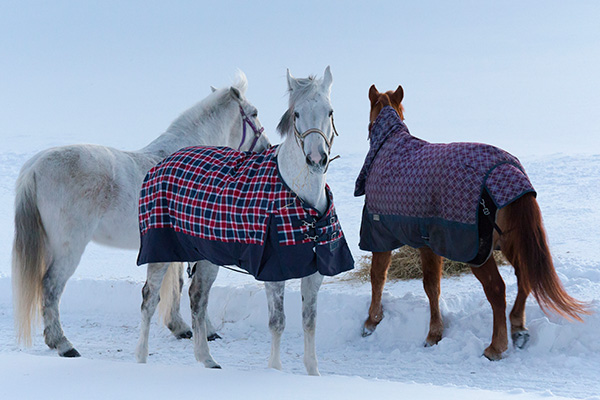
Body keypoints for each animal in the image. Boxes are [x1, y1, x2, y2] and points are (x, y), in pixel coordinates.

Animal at [12, 73, 270, 358]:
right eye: (254, 113)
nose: (266, 148)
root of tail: (34, 168)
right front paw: (205, 331)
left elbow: (177, 285)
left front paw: (181, 328)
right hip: (68, 248)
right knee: (50, 287)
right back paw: (64, 344)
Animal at [137, 66, 342, 376]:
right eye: (296, 114)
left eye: (330, 111)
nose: (317, 159)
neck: (299, 199)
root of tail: (163, 163)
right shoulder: (273, 271)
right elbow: (278, 321)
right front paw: (275, 369)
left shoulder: (315, 272)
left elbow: (309, 321)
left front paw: (313, 373)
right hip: (160, 252)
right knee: (149, 299)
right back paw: (141, 359)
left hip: (206, 255)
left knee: (197, 298)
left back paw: (206, 359)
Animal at [358, 84, 588, 360]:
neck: (389, 147)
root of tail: (508, 171)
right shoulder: (429, 242)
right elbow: (432, 286)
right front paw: (435, 332)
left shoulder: (381, 235)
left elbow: (380, 277)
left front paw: (372, 321)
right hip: (510, 242)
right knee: (524, 276)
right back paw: (517, 327)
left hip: (478, 252)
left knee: (497, 290)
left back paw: (496, 346)